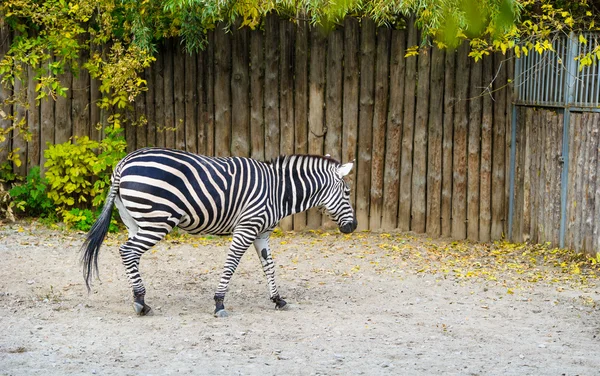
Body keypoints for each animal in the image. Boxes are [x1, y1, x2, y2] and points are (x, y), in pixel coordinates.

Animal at [79, 148, 356, 318]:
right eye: (347, 192)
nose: (352, 228)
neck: (278, 191)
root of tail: (123, 162)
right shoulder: (246, 228)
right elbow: (231, 264)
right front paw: (219, 302)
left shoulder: (261, 234)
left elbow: (269, 267)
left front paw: (278, 299)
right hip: (157, 221)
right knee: (127, 251)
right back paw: (141, 302)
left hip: (135, 221)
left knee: (131, 255)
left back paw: (139, 299)